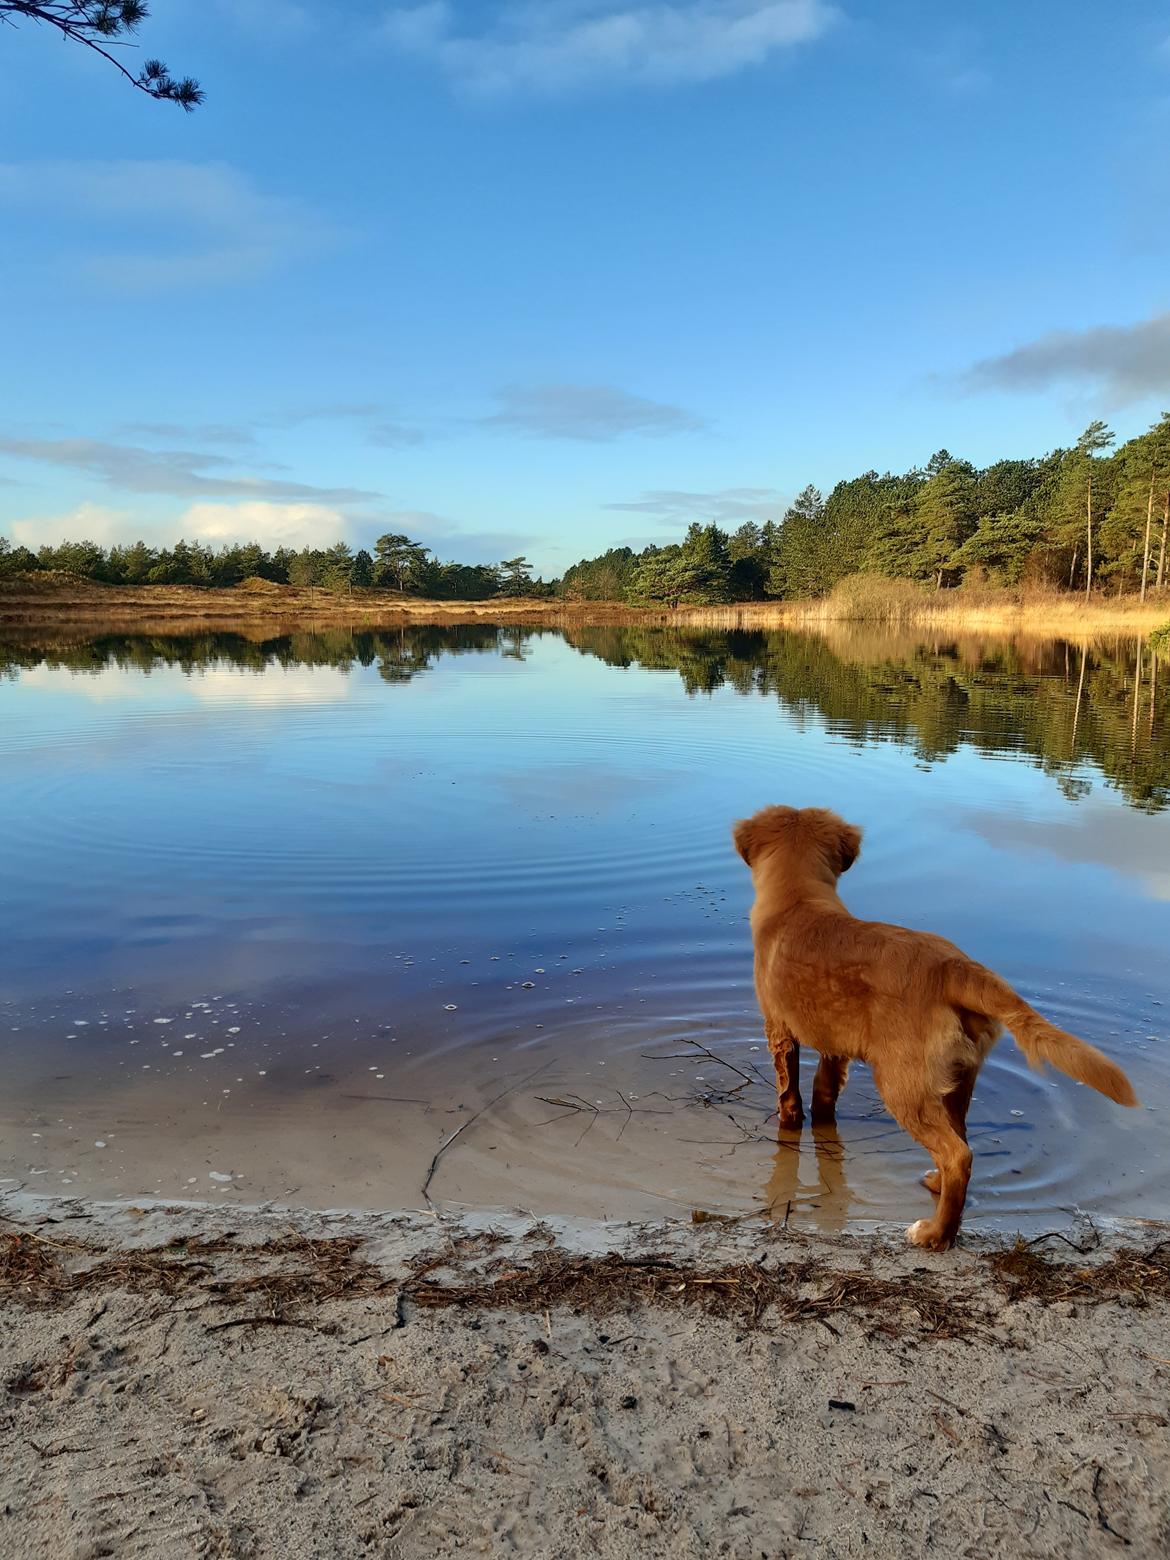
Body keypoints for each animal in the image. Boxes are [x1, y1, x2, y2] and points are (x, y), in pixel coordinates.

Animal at [736, 811, 1141, 1248]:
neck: (799, 899)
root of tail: (955, 968)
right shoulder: (835, 1044)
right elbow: (823, 1091)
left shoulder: (778, 1029)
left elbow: (789, 1093)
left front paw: (788, 1120)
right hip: (957, 1080)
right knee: (960, 1144)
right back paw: (937, 1192)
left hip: (903, 1085)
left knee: (957, 1155)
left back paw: (934, 1233)